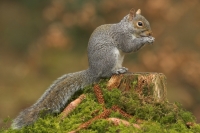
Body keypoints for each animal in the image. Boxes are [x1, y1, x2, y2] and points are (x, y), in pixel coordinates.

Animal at [11, 8, 155, 129]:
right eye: (140, 24)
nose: (150, 32)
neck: (126, 28)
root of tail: (93, 70)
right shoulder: (122, 37)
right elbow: (129, 46)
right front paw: (147, 39)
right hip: (109, 55)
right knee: (106, 73)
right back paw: (117, 70)